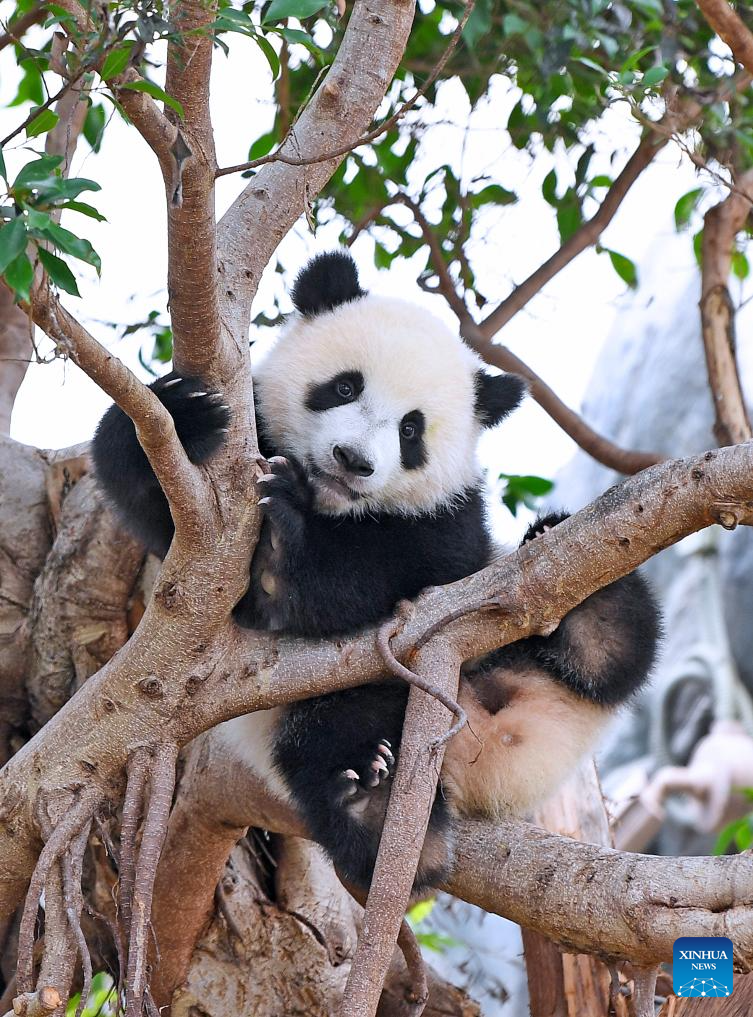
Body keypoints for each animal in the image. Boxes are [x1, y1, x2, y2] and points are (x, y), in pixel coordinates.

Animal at [92, 250, 659, 892]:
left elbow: (394, 573)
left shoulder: (452, 516)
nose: (353, 461)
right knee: (331, 736)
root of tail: (495, 755)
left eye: (411, 429)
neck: (335, 509)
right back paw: (375, 800)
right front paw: (185, 414)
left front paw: (286, 553)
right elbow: (159, 507)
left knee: (615, 656)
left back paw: (592, 607)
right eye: (344, 386)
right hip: (325, 706)